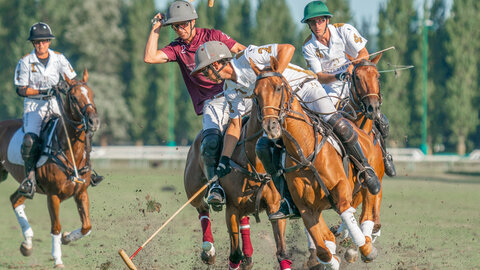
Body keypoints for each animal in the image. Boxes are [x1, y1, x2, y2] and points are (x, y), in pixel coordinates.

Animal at [0, 69, 99, 268]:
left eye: (91, 94)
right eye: (74, 97)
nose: (94, 121)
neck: (70, 150)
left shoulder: (81, 192)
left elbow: (87, 226)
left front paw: (67, 238)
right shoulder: (53, 195)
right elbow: (55, 227)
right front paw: (58, 259)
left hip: (26, 186)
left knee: (15, 199)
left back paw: (27, 244)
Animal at [185, 102, 294, 268]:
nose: (274, 127)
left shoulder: (275, 207)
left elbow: (282, 253)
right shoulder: (232, 209)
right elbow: (235, 254)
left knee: (243, 219)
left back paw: (247, 256)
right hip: (193, 190)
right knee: (202, 207)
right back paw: (209, 251)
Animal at [251, 57, 382, 268]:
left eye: (278, 88)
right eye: (255, 95)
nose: (270, 126)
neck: (305, 152)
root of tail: (363, 131)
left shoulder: (341, 189)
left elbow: (346, 213)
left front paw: (364, 249)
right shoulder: (307, 209)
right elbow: (323, 249)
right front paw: (331, 258)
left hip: (369, 183)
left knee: (369, 212)